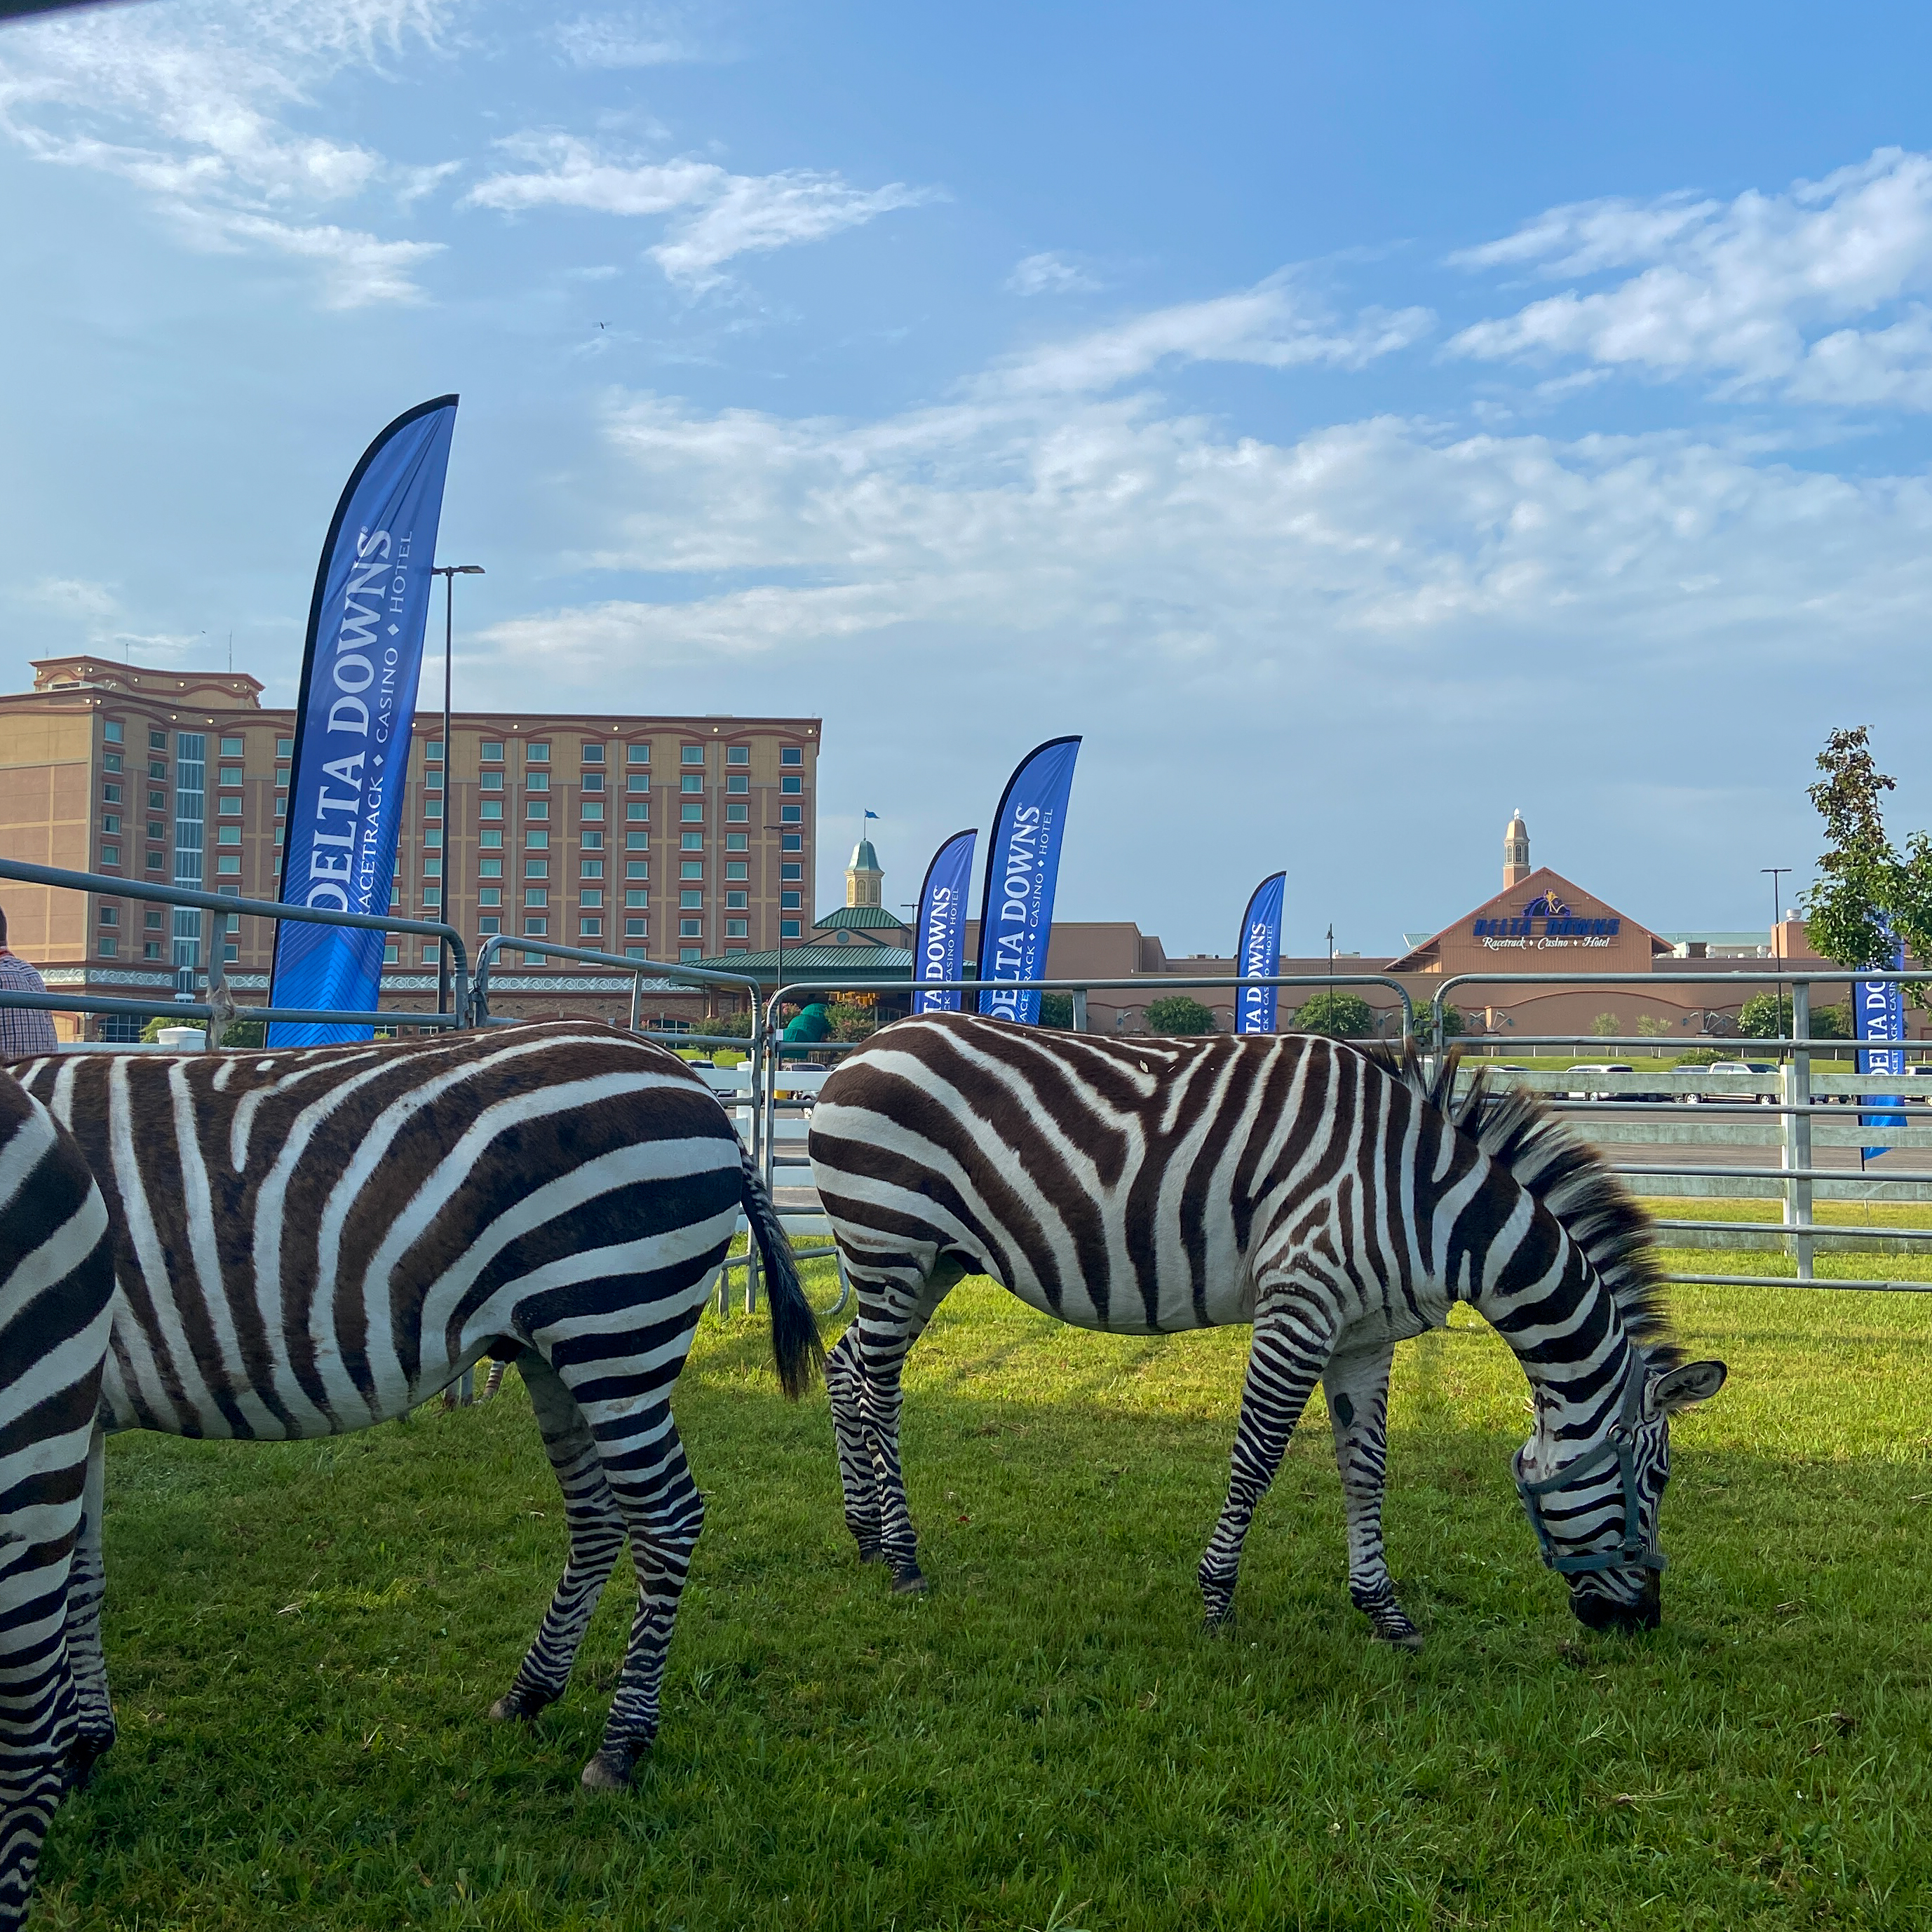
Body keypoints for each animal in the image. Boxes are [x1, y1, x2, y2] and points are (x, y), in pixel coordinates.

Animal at [0, 1021, 820, 1930]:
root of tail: (693, 1080)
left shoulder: (43, 1400)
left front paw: (68, 1751)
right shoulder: (78, 1411)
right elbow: (83, 1581)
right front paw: (86, 1746)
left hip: (614, 1325)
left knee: (668, 1518)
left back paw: (622, 1746)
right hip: (553, 1347)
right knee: (600, 1515)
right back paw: (530, 1693)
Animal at [807, 1014, 1726, 1638]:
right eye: (1658, 1479)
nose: (1640, 1622)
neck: (1430, 1201)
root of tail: (867, 1045)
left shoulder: (1365, 1333)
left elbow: (1366, 1469)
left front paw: (1383, 1611)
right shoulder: (1300, 1303)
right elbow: (1257, 1454)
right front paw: (1216, 1597)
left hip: (926, 1260)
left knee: (846, 1365)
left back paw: (863, 1537)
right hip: (890, 1241)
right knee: (880, 1389)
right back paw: (904, 1558)